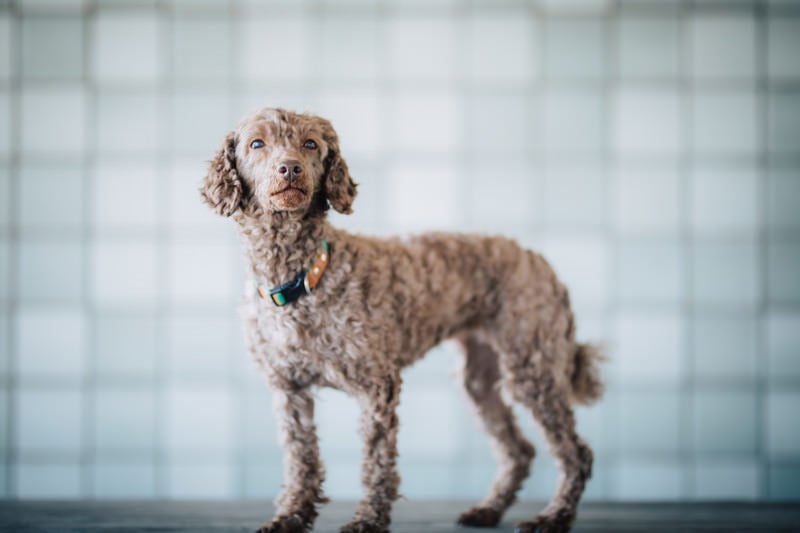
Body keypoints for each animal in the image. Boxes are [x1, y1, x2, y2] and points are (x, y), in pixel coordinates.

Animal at [200, 108, 600, 532]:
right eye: (256, 143)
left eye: (310, 144)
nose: (290, 168)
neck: (304, 277)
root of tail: (540, 262)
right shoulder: (288, 390)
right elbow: (300, 459)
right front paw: (291, 516)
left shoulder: (377, 385)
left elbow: (377, 463)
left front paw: (368, 520)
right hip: (480, 379)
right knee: (519, 450)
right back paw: (489, 509)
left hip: (532, 367)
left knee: (576, 453)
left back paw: (553, 516)